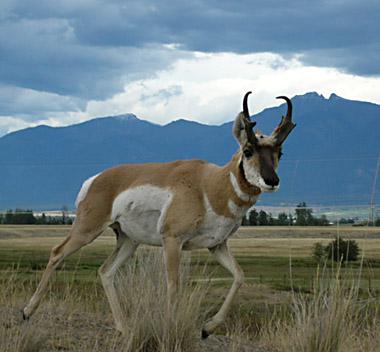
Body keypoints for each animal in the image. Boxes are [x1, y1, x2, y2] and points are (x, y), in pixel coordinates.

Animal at [22, 92, 296, 336]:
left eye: (280, 153)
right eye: (248, 150)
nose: (272, 181)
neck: (209, 186)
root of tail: (96, 179)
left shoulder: (217, 246)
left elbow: (239, 276)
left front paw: (207, 328)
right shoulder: (172, 241)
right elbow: (174, 286)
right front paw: (172, 326)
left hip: (128, 241)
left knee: (105, 271)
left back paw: (124, 328)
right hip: (87, 229)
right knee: (57, 253)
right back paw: (27, 312)